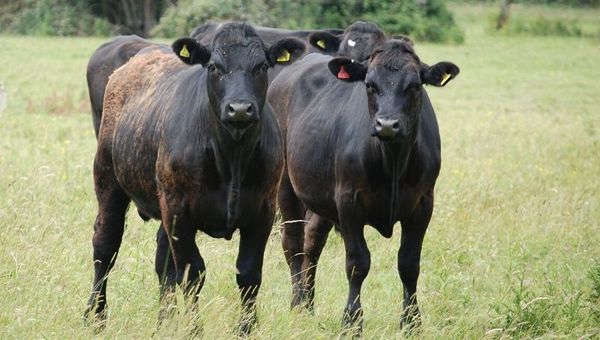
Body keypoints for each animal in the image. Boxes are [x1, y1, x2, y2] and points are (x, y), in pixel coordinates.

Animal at [84, 21, 304, 334]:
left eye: (261, 66)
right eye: (214, 67)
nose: (239, 108)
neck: (231, 158)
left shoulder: (263, 212)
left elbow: (248, 275)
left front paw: (246, 329)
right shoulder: (180, 212)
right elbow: (192, 273)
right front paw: (193, 330)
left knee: (162, 261)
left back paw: (164, 322)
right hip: (108, 181)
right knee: (105, 246)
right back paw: (96, 317)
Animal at [268, 38, 460, 334]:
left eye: (414, 86)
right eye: (370, 85)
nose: (387, 125)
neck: (393, 160)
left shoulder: (423, 203)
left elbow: (409, 263)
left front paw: (412, 322)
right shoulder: (349, 201)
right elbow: (358, 263)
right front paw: (351, 321)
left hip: (321, 199)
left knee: (312, 243)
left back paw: (309, 305)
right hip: (286, 186)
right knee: (293, 244)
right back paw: (297, 305)